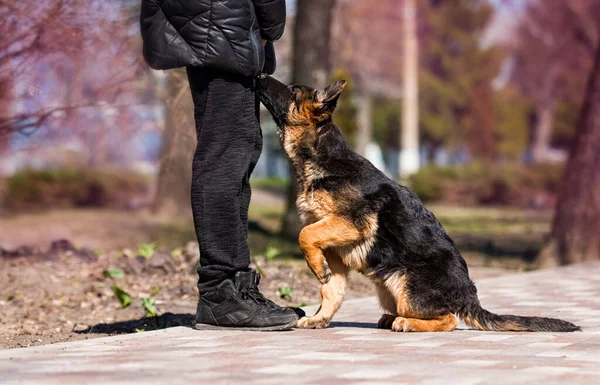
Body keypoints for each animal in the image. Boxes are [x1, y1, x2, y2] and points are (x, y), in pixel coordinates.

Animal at [255, 76, 580, 332]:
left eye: (293, 90)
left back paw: (406, 322)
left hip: (407, 284)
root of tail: (469, 296)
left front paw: (315, 271)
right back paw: (390, 318)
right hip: (388, 287)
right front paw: (319, 316)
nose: (259, 74)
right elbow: (330, 289)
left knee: (449, 319)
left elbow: (304, 235)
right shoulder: (334, 249)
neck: (323, 157)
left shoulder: (350, 225)